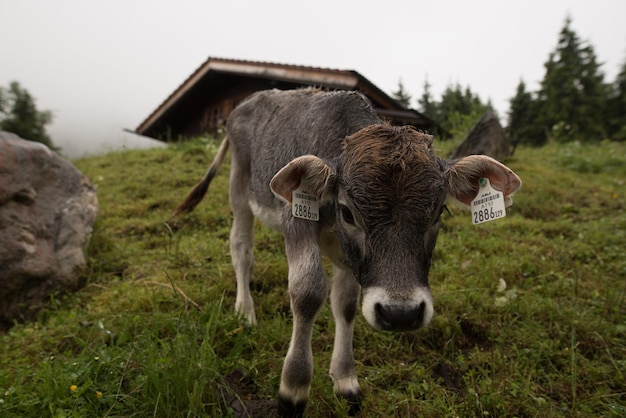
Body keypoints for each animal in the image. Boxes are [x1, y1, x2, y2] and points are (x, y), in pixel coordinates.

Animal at [176, 88, 520, 414]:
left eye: (438, 213)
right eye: (348, 213)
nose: (401, 313)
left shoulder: (350, 259)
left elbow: (345, 304)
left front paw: (345, 379)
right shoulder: (296, 220)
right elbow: (308, 292)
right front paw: (293, 388)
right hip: (239, 185)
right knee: (241, 248)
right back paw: (245, 310)